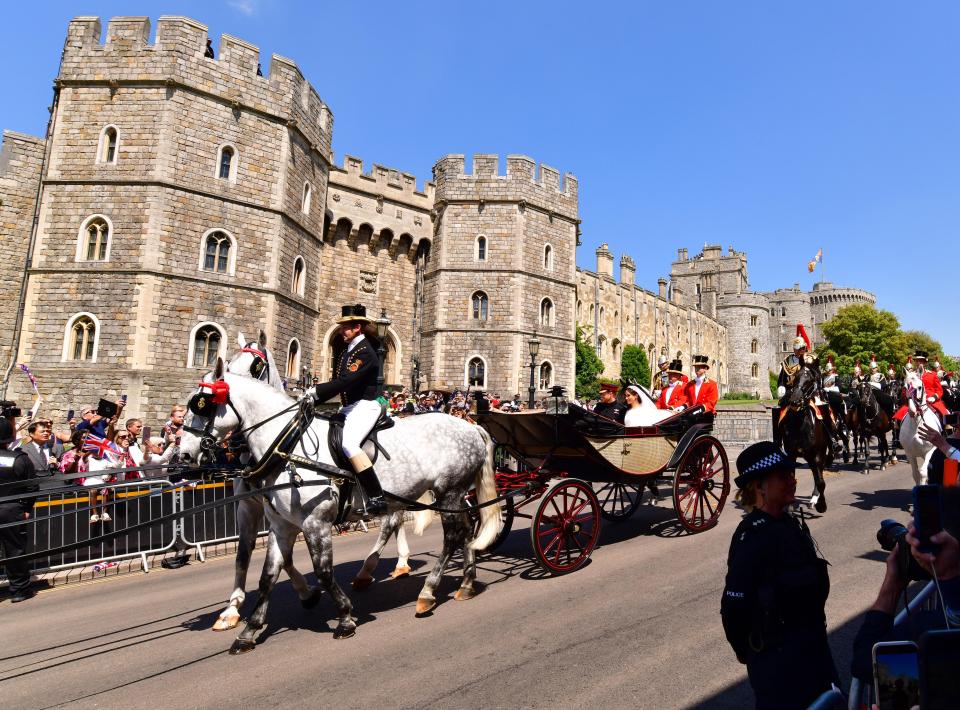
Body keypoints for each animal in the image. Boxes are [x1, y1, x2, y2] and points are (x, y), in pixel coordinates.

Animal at [177, 364, 502, 652]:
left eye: (201, 404)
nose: (183, 455)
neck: (289, 445)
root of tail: (471, 426)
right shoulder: (281, 525)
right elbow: (268, 575)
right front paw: (249, 631)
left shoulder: (315, 522)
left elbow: (323, 571)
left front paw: (345, 616)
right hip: (450, 497)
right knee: (464, 530)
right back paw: (466, 583)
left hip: (449, 493)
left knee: (451, 537)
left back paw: (428, 592)